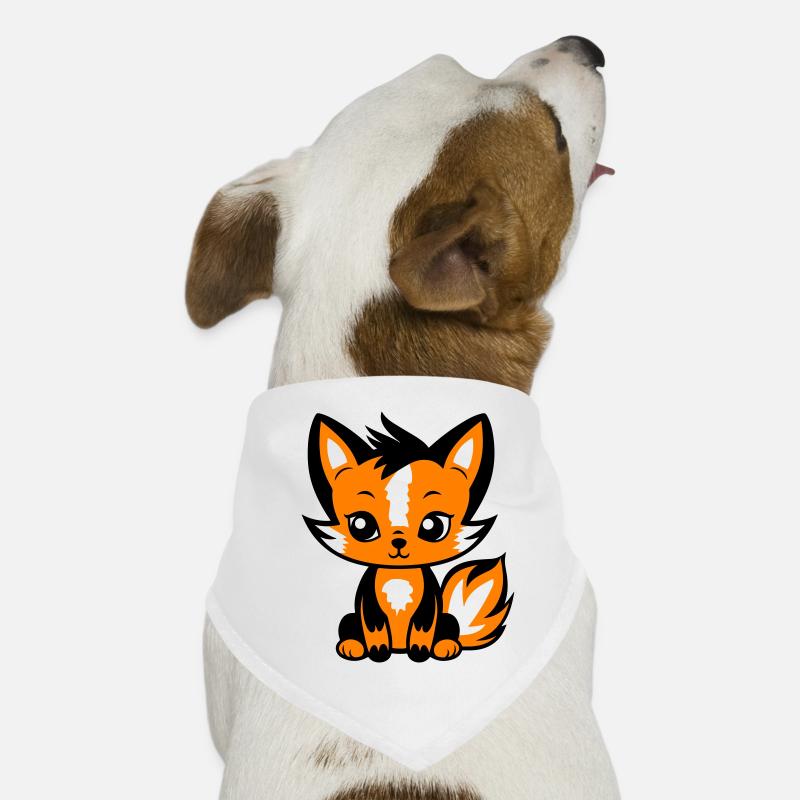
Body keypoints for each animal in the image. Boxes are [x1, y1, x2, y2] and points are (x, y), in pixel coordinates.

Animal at [304, 412, 512, 662]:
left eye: (434, 526)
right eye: (362, 525)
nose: (398, 541)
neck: (399, 575)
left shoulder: (427, 608)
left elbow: (422, 629)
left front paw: (420, 651)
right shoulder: (369, 607)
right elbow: (375, 629)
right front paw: (378, 651)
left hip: (447, 619)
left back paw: (445, 646)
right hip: (349, 618)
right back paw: (352, 646)